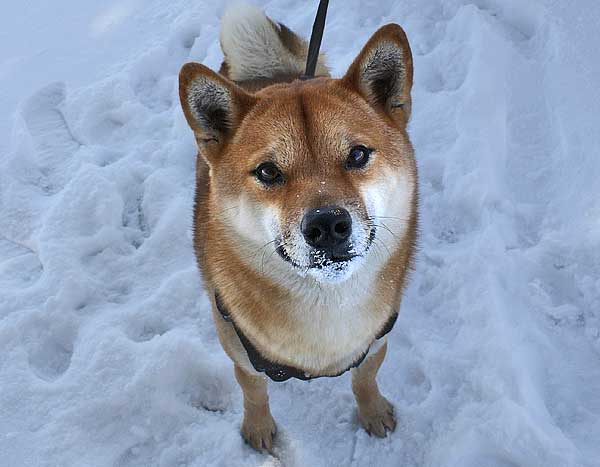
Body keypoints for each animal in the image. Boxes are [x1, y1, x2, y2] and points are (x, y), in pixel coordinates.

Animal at [178, 3, 418, 456]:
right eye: (268, 172)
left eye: (357, 154)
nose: (327, 225)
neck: (327, 305)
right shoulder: (239, 351)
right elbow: (253, 391)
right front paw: (258, 429)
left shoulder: (376, 340)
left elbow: (365, 378)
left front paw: (373, 412)